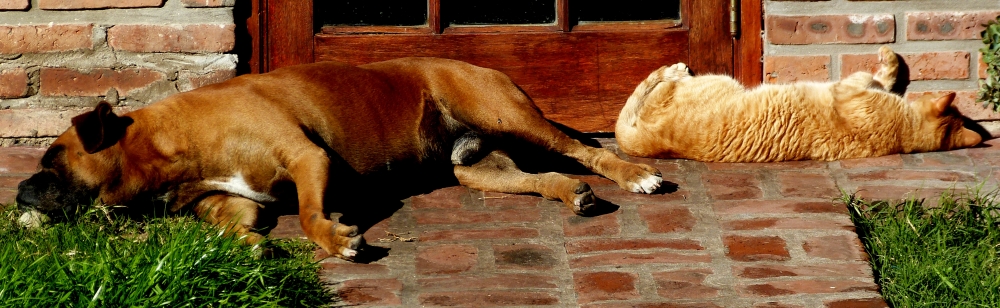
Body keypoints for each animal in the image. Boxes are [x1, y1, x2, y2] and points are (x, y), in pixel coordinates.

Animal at [15, 57, 664, 260]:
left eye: (51, 159)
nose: (20, 190)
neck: (173, 145)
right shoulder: (230, 200)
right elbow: (237, 225)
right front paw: (251, 246)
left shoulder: (308, 159)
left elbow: (306, 215)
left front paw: (336, 238)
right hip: (476, 166)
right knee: (544, 176)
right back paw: (572, 194)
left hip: (508, 115)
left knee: (583, 149)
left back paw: (636, 175)